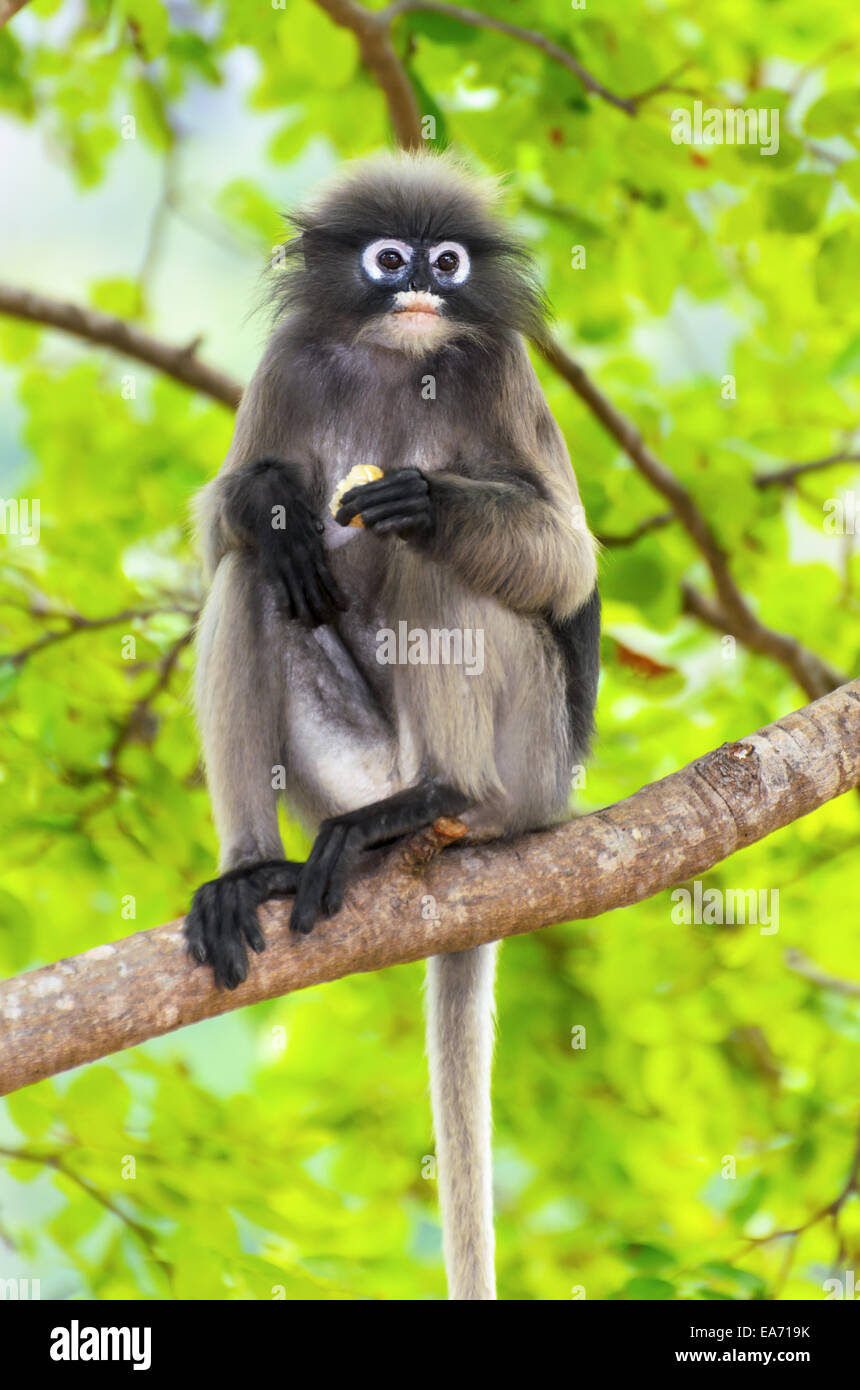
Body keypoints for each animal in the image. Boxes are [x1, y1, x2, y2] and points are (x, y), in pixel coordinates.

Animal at [183, 152, 600, 1301]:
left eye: (445, 261)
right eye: (386, 259)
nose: (418, 283)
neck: (392, 362)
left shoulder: (500, 368)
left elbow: (566, 563)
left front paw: (431, 501)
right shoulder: (285, 364)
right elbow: (228, 535)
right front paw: (272, 499)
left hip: (533, 758)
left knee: (436, 562)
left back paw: (444, 794)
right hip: (349, 767)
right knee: (254, 576)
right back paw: (252, 869)